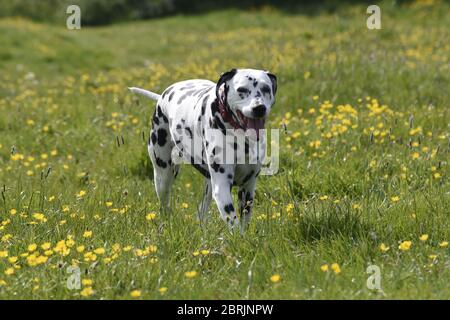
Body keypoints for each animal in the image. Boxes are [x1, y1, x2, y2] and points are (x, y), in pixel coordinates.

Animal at [129, 68, 278, 232]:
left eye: (266, 88)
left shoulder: (248, 188)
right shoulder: (222, 186)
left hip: (208, 185)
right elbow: (233, 223)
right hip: (163, 176)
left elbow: (244, 221)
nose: (259, 108)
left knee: (202, 209)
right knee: (164, 205)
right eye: (242, 89)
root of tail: (162, 96)